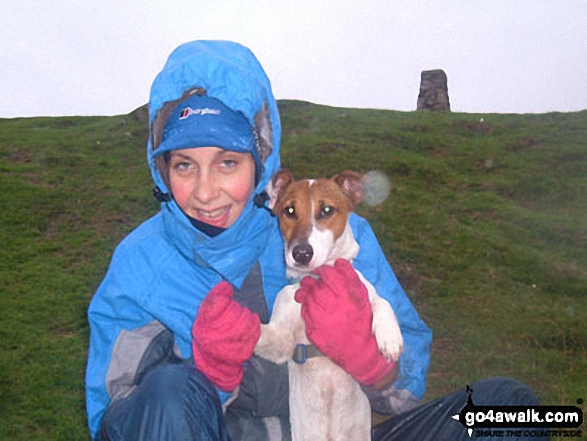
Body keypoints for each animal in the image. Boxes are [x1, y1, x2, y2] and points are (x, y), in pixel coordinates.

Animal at [258, 169, 404, 440]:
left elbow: (382, 302)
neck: (318, 281)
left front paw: (390, 337)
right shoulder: (281, 339)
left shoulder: (361, 291)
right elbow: (260, 332)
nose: (301, 253)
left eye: (326, 210)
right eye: (289, 211)